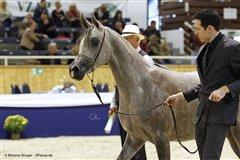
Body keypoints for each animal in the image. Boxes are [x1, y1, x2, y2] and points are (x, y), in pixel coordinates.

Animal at [68, 14, 239, 160]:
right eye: (80, 41)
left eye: (94, 41)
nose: (74, 69)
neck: (141, 86)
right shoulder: (134, 139)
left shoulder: (161, 139)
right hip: (229, 135)